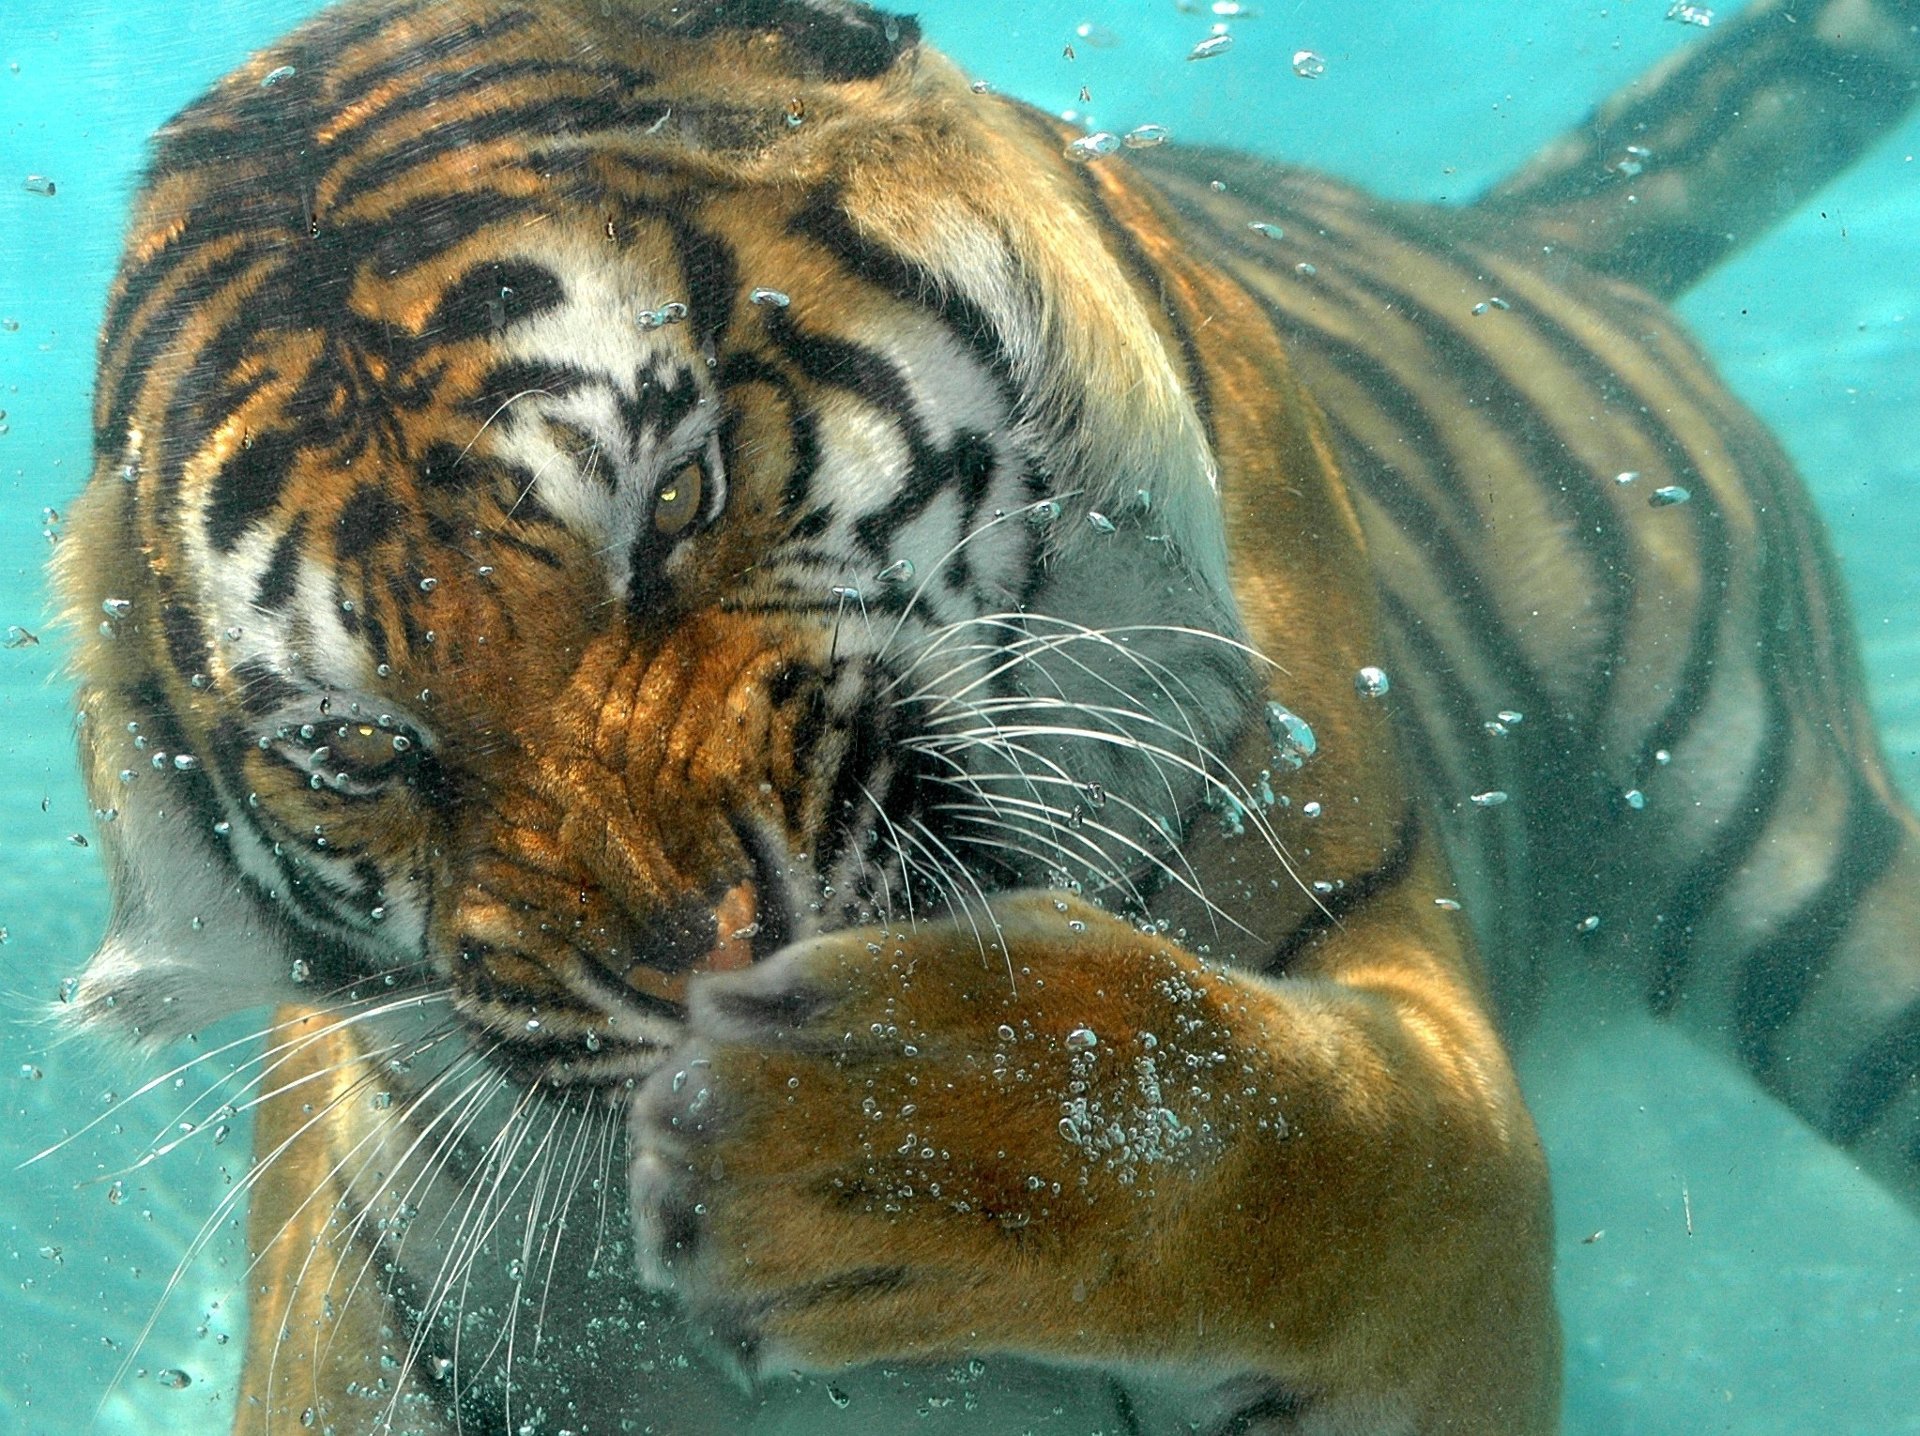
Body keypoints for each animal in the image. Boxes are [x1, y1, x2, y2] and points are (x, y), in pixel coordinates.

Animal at [53, 0, 1920, 1432]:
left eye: (681, 495)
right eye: (360, 747)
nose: (701, 961)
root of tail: (1485, 233)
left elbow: (1288, 1123)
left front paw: (886, 1138)